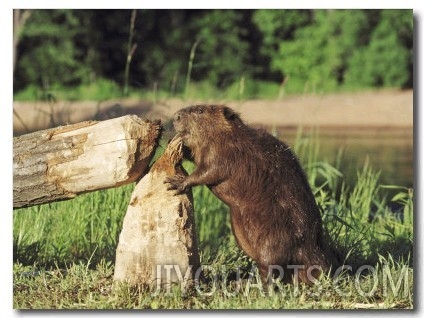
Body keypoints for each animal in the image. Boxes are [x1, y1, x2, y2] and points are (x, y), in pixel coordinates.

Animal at [164, 105, 338, 286]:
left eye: (200, 111)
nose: (176, 116)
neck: (230, 135)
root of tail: (313, 250)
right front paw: (174, 143)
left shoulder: (228, 152)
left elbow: (210, 171)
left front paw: (177, 182)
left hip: (274, 238)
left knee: (273, 266)